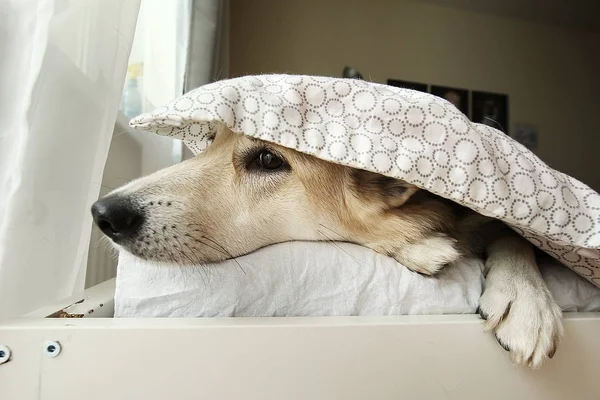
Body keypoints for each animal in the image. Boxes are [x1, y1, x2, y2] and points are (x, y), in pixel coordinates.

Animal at [92, 122, 564, 368]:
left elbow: (515, 237)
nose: (102, 213)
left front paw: (527, 301)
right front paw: (420, 245)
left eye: (268, 159)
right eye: (209, 145)